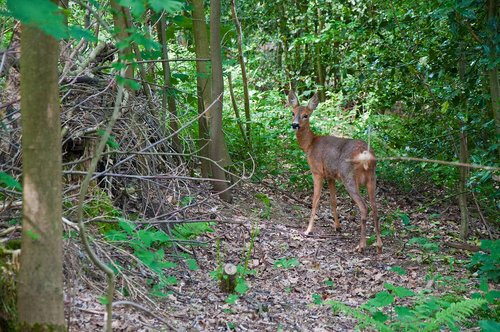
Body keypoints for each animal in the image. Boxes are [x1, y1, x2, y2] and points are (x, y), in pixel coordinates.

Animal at [288, 89, 380, 253]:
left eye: (306, 115)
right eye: (293, 113)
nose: (295, 125)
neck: (310, 145)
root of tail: (365, 155)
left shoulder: (317, 171)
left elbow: (315, 200)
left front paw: (308, 230)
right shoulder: (330, 175)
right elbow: (333, 201)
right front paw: (337, 227)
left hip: (348, 177)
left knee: (364, 207)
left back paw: (361, 246)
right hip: (372, 178)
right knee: (375, 207)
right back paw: (379, 245)